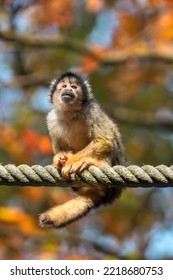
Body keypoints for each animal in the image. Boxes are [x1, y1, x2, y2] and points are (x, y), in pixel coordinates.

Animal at [39, 71, 125, 229]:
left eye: (74, 87)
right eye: (64, 86)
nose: (68, 90)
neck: (71, 112)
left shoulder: (92, 109)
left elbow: (104, 140)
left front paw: (70, 162)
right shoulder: (51, 118)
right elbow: (60, 149)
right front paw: (60, 159)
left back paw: (93, 163)